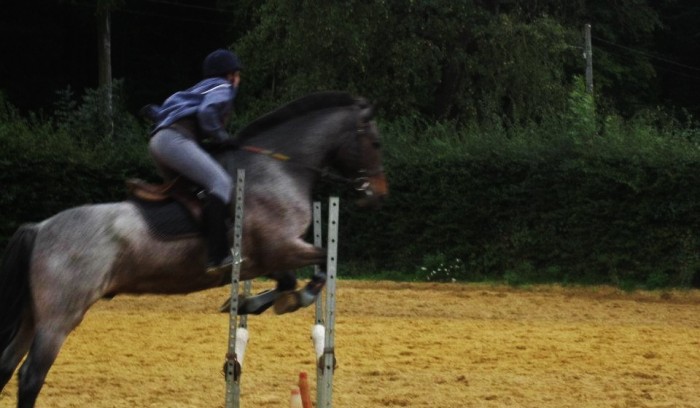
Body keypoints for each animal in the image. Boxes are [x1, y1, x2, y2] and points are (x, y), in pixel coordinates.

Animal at [0, 91, 388, 408]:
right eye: (375, 142)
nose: (378, 195)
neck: (279, 168)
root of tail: (39, 229)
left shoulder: (267, 258)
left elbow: (289, 280)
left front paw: (251, 303)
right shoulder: (282, 247)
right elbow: (320, 265)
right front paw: (287, 301)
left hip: (34, 315)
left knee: (6, 363)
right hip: (59, 317)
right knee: (30, 376)